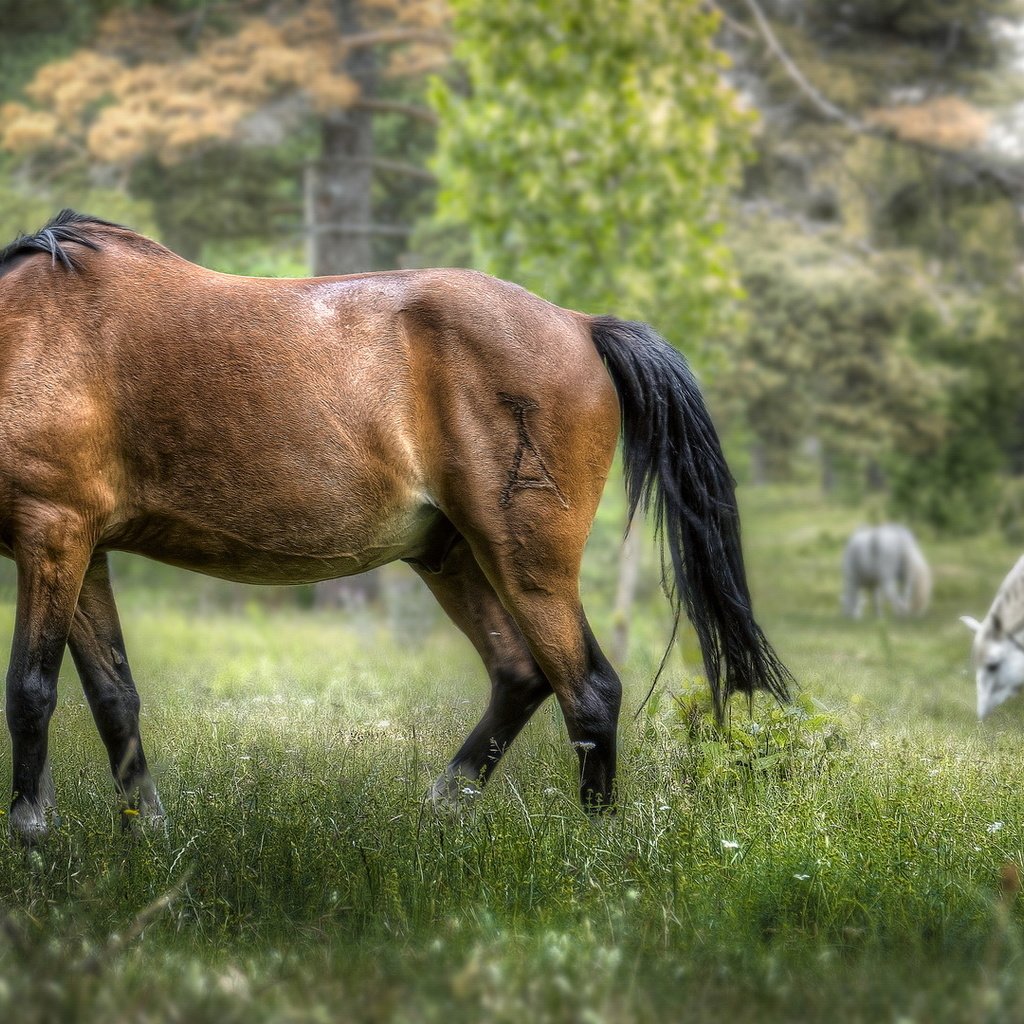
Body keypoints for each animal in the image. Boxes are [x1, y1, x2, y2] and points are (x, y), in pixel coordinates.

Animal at [0, 209, 790, 839]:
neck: (27, 332)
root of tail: (581, 325)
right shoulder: (82, 548)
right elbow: (114, 697)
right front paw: (146, 833)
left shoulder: (51, 534)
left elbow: (30, 691)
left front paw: (32, 835)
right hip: (450, 555)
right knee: (520, 675)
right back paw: (441, 806)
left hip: (525, 560)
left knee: (590, 692)